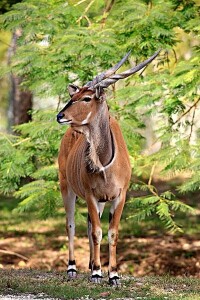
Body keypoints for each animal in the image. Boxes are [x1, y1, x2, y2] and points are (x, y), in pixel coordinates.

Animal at [57, 49, 160, 286]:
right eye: (72, 97)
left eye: (86, 98)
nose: (60, 115)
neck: (105, 163)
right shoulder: (90, 194)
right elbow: (97, 231)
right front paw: (97, 273)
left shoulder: (119, 196)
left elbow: (112, 232)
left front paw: (112, 275)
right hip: (66, 186)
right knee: (71, 224)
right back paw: (73, 268)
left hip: (100, 201)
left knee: (87, 225)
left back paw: (91, 266)